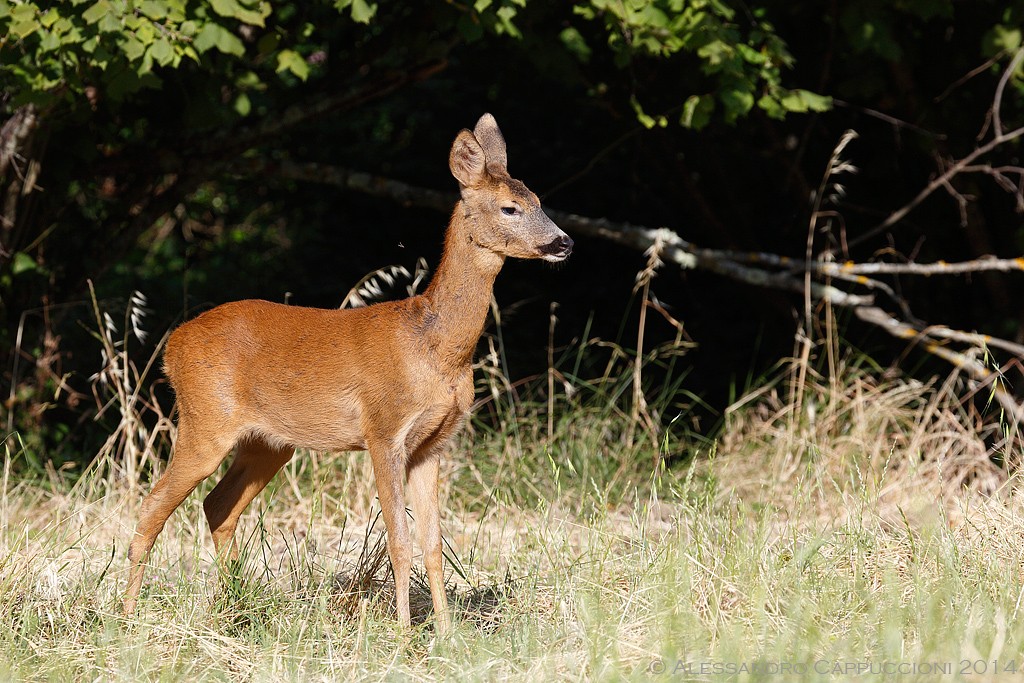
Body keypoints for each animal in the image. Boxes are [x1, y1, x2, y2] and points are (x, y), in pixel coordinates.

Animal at [122, 112, 573, 630]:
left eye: (538, 199)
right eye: (509, 208)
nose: (564, 242)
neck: (435, 349)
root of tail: (172, 346)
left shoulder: (432, 444)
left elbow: (434, 545)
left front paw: (446, 631)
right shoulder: (384, 429)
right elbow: (400, 541)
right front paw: (403, 632)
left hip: (269, 444)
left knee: (217, 506)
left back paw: (235, 608)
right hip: (205, 420)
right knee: (153, 507)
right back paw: (124, 617)